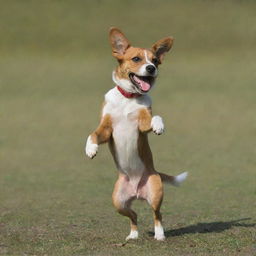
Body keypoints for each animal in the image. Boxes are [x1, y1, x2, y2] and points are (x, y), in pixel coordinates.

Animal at [85, 28, 187, 242]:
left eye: (155, 60)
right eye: (136, 58)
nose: (151, 68)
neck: (128, 99)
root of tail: (137, 192)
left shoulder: (142, 124)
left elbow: (155, 117)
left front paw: (159, 127)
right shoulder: (106, 128)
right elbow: (93, 134)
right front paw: (90, 149)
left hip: (155, 193)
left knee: (157, 214)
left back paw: (159, 235)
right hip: (118, 202)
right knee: (134, 215)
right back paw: (133, 235)